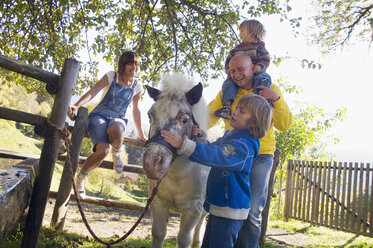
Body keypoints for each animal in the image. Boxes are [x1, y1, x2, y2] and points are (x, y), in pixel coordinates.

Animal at [142, 72, 209, 247]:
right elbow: (158, 233)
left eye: (184, 120)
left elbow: (184, 239)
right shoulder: (157, 203)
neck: (178, 175)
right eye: (150, 116)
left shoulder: (193, 211)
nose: (152, 163)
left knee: (200, 229)